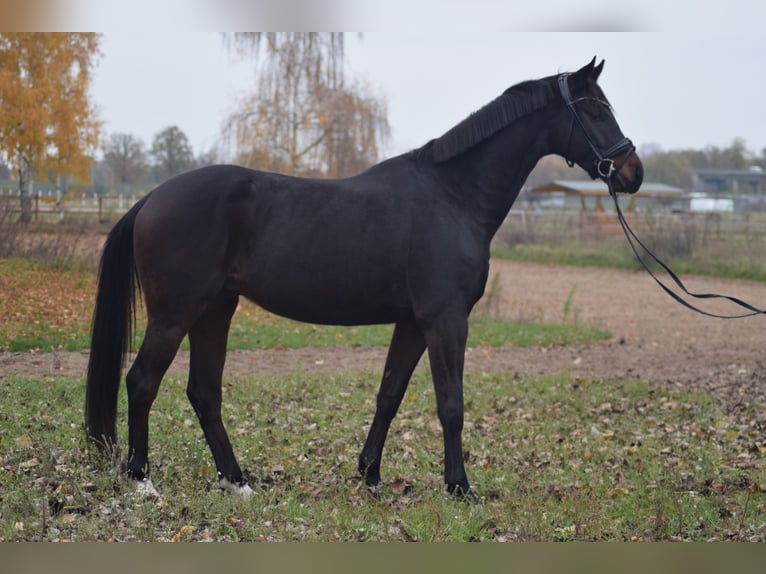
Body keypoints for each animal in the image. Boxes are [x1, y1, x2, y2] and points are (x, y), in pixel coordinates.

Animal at [87, 58, 644, 500]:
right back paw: (143, 480)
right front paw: (459, 487)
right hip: (175, 313)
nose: (632, 172)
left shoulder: (413, 322)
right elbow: (451, 404)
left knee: (203, 393)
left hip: (215, 310)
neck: (452, 195)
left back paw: (238, 481)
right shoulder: (445, 320)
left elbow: (389, 394)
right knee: (142, 382)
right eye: (594, 110)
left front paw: (370, 475)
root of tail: (151, 198)